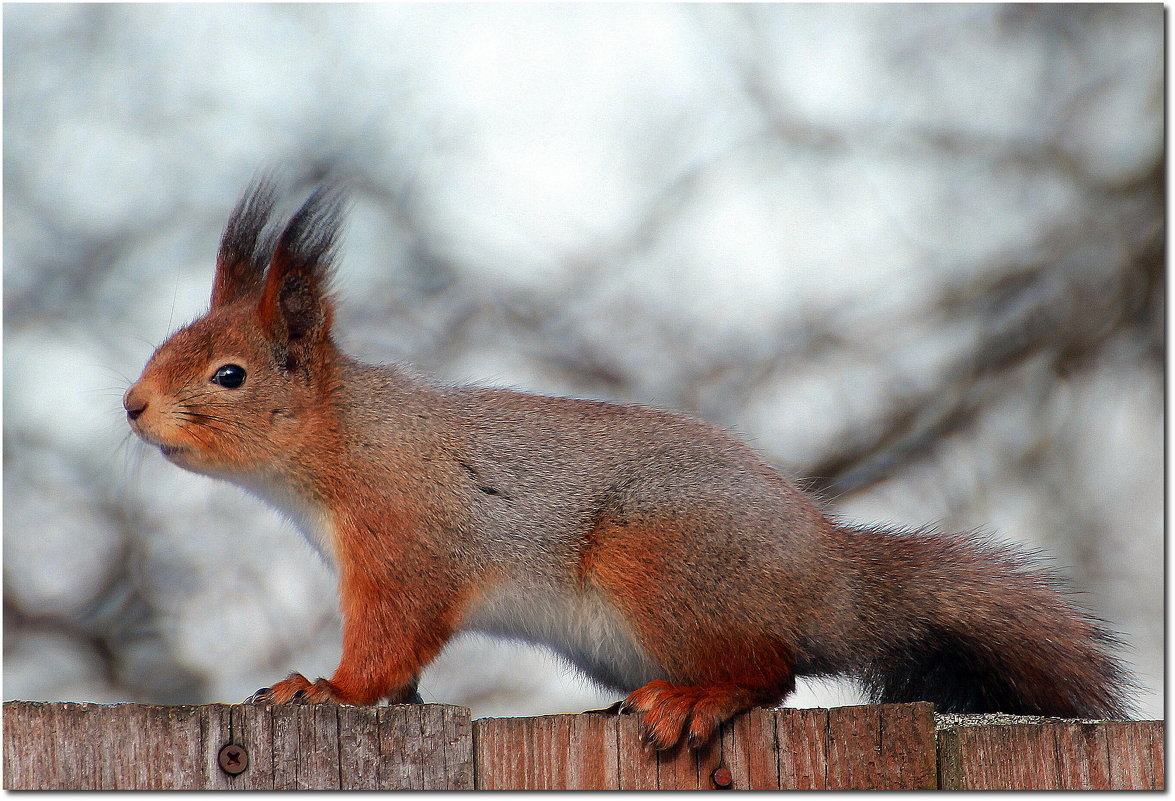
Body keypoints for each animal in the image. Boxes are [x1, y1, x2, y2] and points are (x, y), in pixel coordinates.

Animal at [123, 180, 1132, 746]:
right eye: (166, 342)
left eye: (228, 374)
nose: (131, 405)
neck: (346, 440)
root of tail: (829, 579)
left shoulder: (408, 541)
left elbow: (388, 640)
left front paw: (325, 687)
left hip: (658, 558)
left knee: (771, 671)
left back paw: (695, 701)